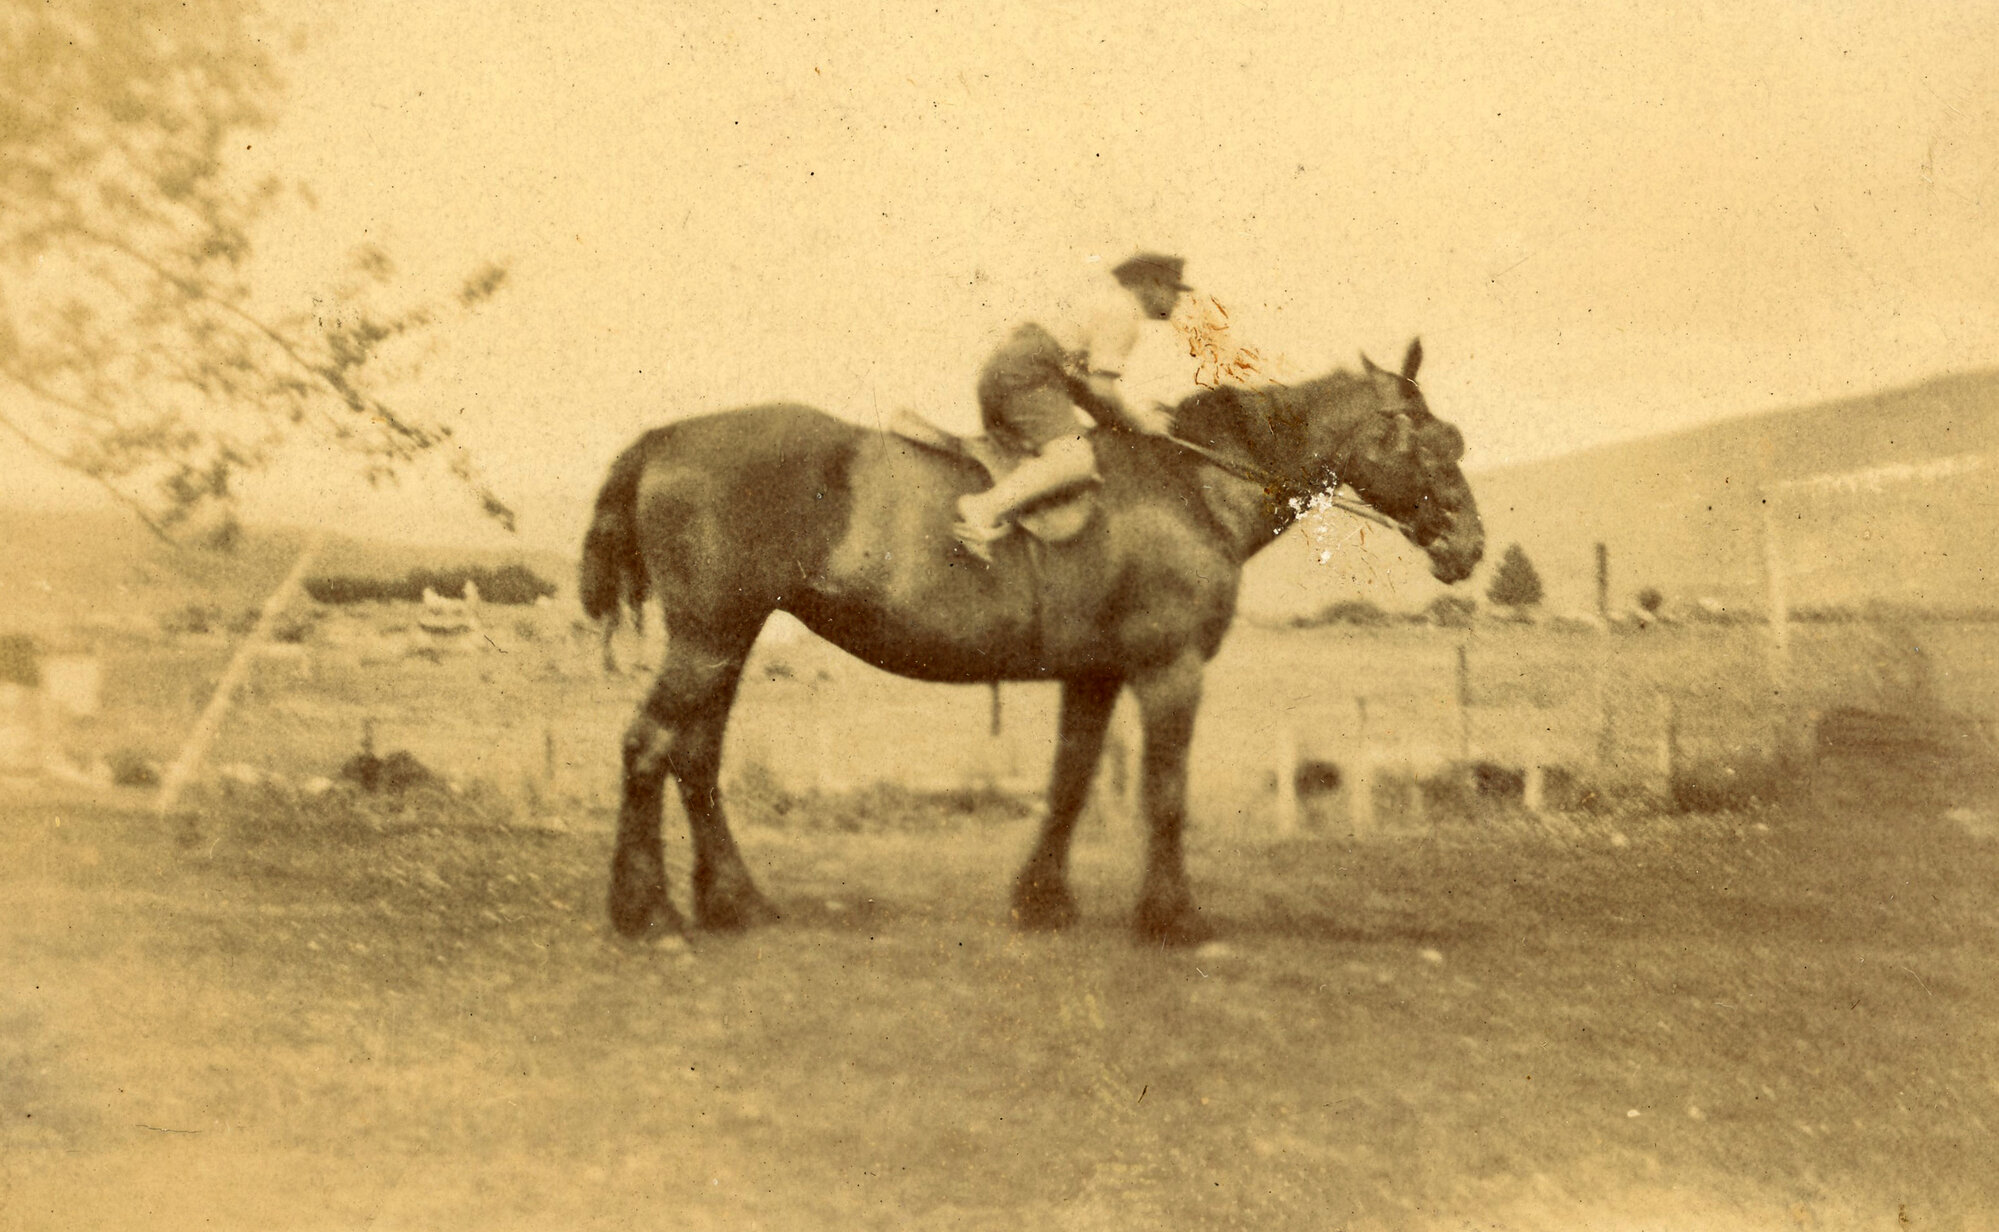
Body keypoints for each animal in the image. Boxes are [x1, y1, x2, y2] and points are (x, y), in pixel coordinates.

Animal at [579, 339, 1483, 946]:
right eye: (1427, 439)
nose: (1467, 545)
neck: (1190, 484)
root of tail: (664, 438)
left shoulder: (1094, 674)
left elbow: (1070, 783)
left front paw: (1041, 901)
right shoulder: (1169, 671)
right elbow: (1164, 794)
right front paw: (1172, 917)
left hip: (725, 642)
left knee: (695, 758)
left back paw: (733, 903)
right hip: (710, 638)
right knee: (649, 745)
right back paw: (646, 911)